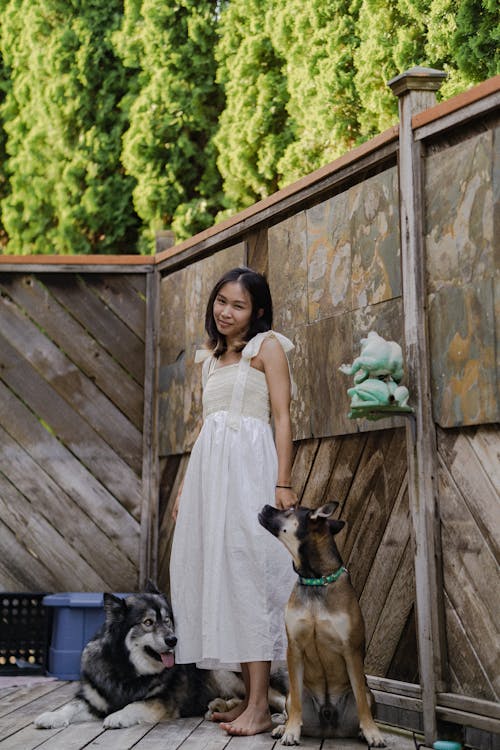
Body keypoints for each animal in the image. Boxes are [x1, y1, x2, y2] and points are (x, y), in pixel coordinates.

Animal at [34, 584, 286, 732]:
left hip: (226, 672)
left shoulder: (161, 701)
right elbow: (70, 706)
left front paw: (118, 716)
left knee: (281, 698)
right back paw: (221, 706)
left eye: (168, 621)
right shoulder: (92, 700)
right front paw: (50, 716)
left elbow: (135, 704)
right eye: (148, 622)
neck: (125, 669)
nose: (173, 640)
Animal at [258, 502, 386, 748]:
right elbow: (296, 704)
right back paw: (282, 727)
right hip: (294, 695)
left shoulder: (351, 650)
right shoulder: (294, 648)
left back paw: (361, 732)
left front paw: (372, 732)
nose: (266, 506)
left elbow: (362, 702)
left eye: (290, 510)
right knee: (291, 705)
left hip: (369, 694)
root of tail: (329, 724)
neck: (315, 580)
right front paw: (291, 731)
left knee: (363, 699)